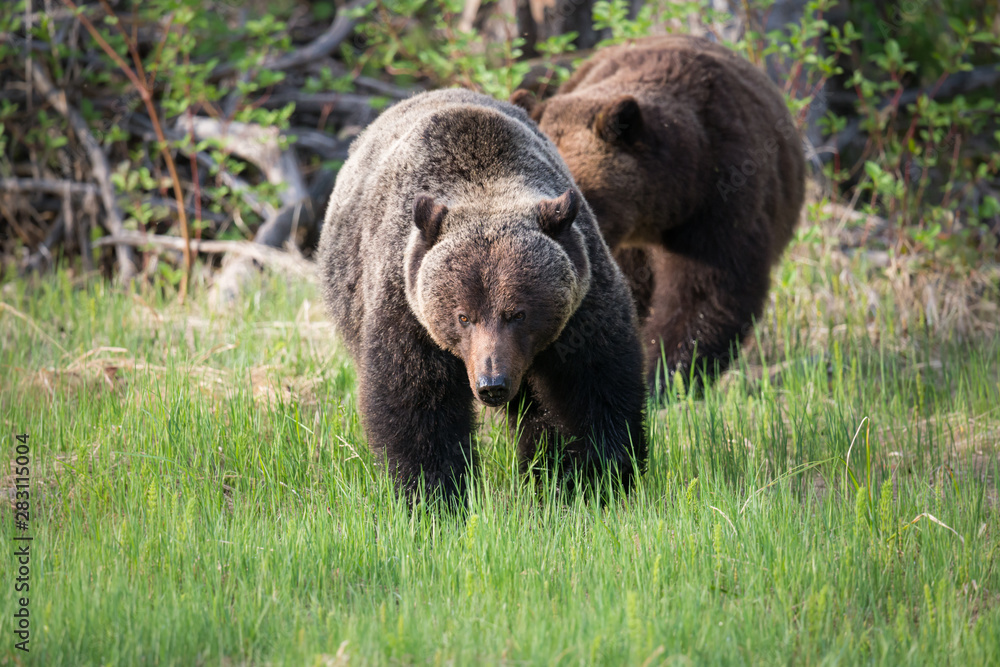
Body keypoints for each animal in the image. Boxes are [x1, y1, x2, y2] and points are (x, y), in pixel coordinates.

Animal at [318, 88, 647, 502]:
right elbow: (416, 403)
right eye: (463, 316)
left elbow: (596, 384)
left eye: (518, 313)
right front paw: (435, 492)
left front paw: (601, 477)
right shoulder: (407, 309)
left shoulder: (583, 303)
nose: (492, 384)